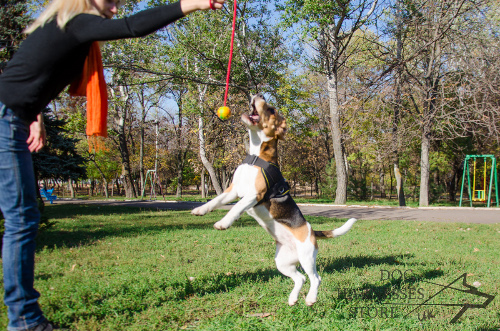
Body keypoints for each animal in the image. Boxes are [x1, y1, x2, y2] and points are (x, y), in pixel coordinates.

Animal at [189, 93, 358, 306]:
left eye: (271, 110)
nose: (258, 94)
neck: (255, 156)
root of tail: (312, 231)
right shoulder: (233, 190)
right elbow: (216, 201)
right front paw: (200, 210)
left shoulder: (254, 195)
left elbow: (236, 208)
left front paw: (223, 223)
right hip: (282, 263)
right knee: (300, 278)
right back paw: (293, 298)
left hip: (307, 257)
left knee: (315, 278)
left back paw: (310, 298)